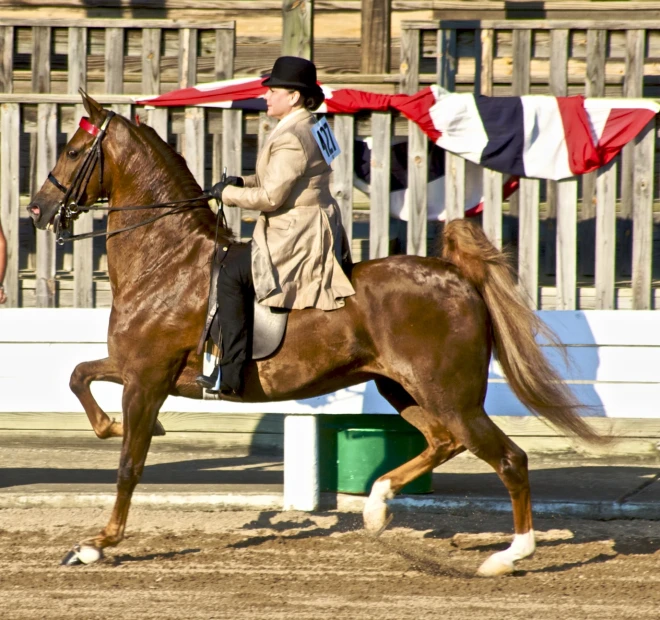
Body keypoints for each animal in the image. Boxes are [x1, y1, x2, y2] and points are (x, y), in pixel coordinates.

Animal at [29, 93, 600, 576]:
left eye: (74, 150)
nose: (37, 210)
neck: (166, 261)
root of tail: (457, 275)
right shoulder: (135, 369)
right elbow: (79, 376)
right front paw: (110, 428)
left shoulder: (147, 378)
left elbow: (130, 464)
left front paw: (96, 544)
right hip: (405, 389)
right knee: (443, 441)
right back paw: (376, 509)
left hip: (450, 395)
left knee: (508, 458)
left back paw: (509, 556)